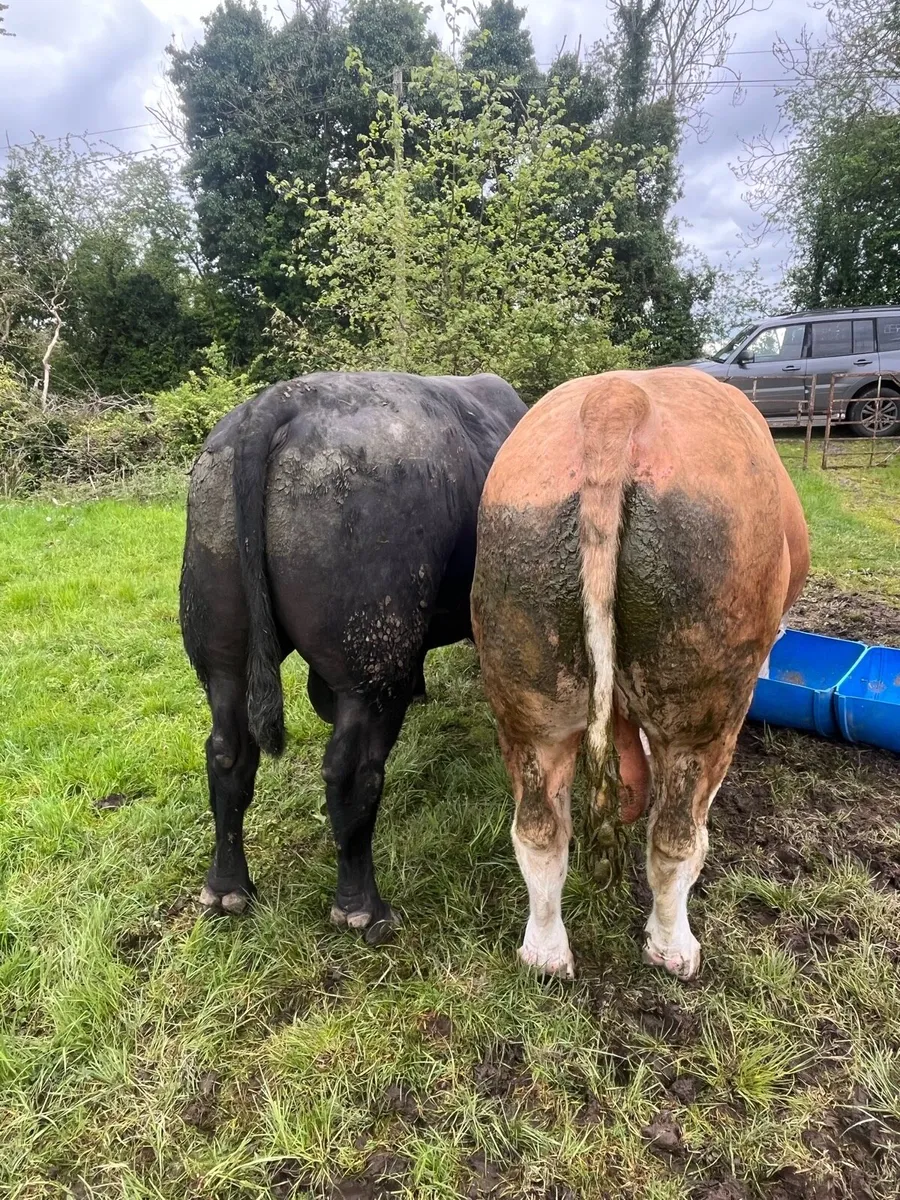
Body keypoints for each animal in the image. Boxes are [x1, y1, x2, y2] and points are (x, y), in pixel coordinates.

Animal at [180, 371, 526, 942]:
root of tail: (281, 400)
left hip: (222, 651)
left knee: (228, 753)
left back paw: (228, 888)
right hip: (372, 663)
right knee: (352, 773)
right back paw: (364, 907)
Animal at [471, 368, 809, 980]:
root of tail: (616, 400)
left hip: (527, 678)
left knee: (539, 829)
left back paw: (546, 955)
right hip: (700, 700)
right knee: (676, 837)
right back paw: (673, 948)